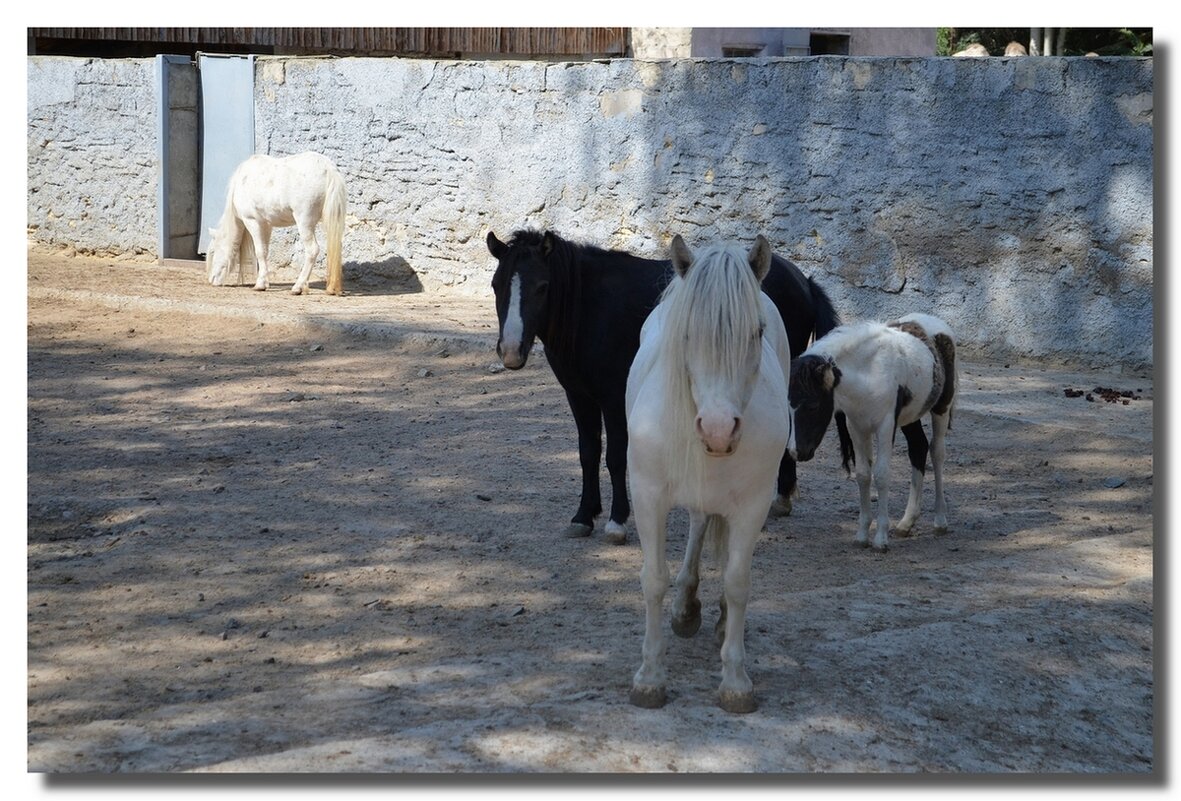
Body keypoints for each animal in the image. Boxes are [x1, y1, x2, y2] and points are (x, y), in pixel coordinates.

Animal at [206, 152, 344, 296]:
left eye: (212, 252)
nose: (211, 280)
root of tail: (328, 168)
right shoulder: (266, 224)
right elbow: (265, 251)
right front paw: (265, 282)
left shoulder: (253, 221)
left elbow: (259, 252)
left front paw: (260, 285)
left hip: (304, 221)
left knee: (312, 250)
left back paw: (298, 287)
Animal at [481, 232, 840, 545]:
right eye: (496, 285)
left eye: (542, 287)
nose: (511, 351)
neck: (590, 308)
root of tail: (802, 280)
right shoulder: (579, 396)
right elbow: (588, 453)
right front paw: (583, 516)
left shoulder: (613, 399)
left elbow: (615, 457)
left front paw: (616, 521)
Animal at [628, 233, 793, 713]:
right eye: (687, 334)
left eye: (756, 332)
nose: (719, 429)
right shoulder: (646, 497)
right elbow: (653, 579)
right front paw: (649, 678)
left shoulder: (753, 507)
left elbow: (738, 583)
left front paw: (736, 681)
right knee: (699, 524)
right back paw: (685, 608)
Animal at [788, 311, 954, 552]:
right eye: (788, 405)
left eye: (812, 406)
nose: (796, 452)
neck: (868, 372)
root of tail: (935, 321)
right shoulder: (857, 427)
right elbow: (863, 475)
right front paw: (862, 535)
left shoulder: (885, 426)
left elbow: (882, 475)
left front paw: (881, 538)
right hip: (910, 416)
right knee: (918, 448)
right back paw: (906, 522)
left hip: (942, 407)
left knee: (937, 452)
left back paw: (940, 521)